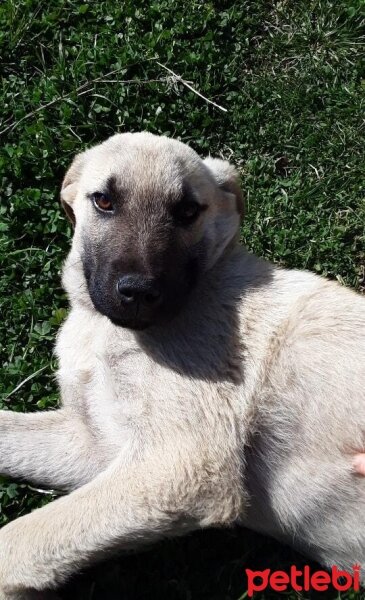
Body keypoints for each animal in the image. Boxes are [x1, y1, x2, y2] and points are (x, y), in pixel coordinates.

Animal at [0, 134, 364, 596]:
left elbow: (23, 538)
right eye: (103, 201)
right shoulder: (97, 447)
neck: (106, 332)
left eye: (188, 212)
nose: (138, 292)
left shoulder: (179, 463)